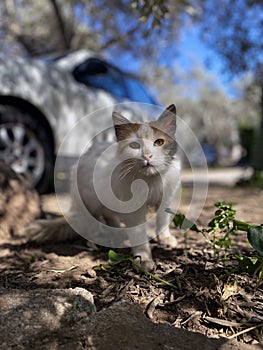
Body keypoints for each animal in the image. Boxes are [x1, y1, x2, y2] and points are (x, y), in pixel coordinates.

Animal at [27, 104, 183, 270]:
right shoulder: (133, 210)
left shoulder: (167, 198)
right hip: (94, 200)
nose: (147, 156)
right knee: (99, 220)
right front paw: (144, 259)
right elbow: (138, 234)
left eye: (159, 142)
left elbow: (163, 221)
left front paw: (165, 238)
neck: (150, 181)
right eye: (135, 146)